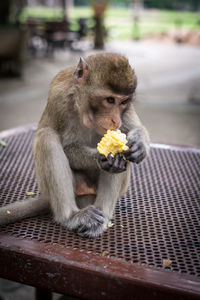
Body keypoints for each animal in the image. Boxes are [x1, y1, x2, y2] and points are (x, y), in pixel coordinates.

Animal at [0, 52, 150, 238]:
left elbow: (136, 128)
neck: (86, 111)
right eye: (110, 100)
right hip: (56, 187)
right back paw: (71, 216)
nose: (115, 120)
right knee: (47, 137)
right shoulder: (60, 99)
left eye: (123, 102)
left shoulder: (126, 111)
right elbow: (67, 147)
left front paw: (139, 146)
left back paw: (102, 215)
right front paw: (102, 158)